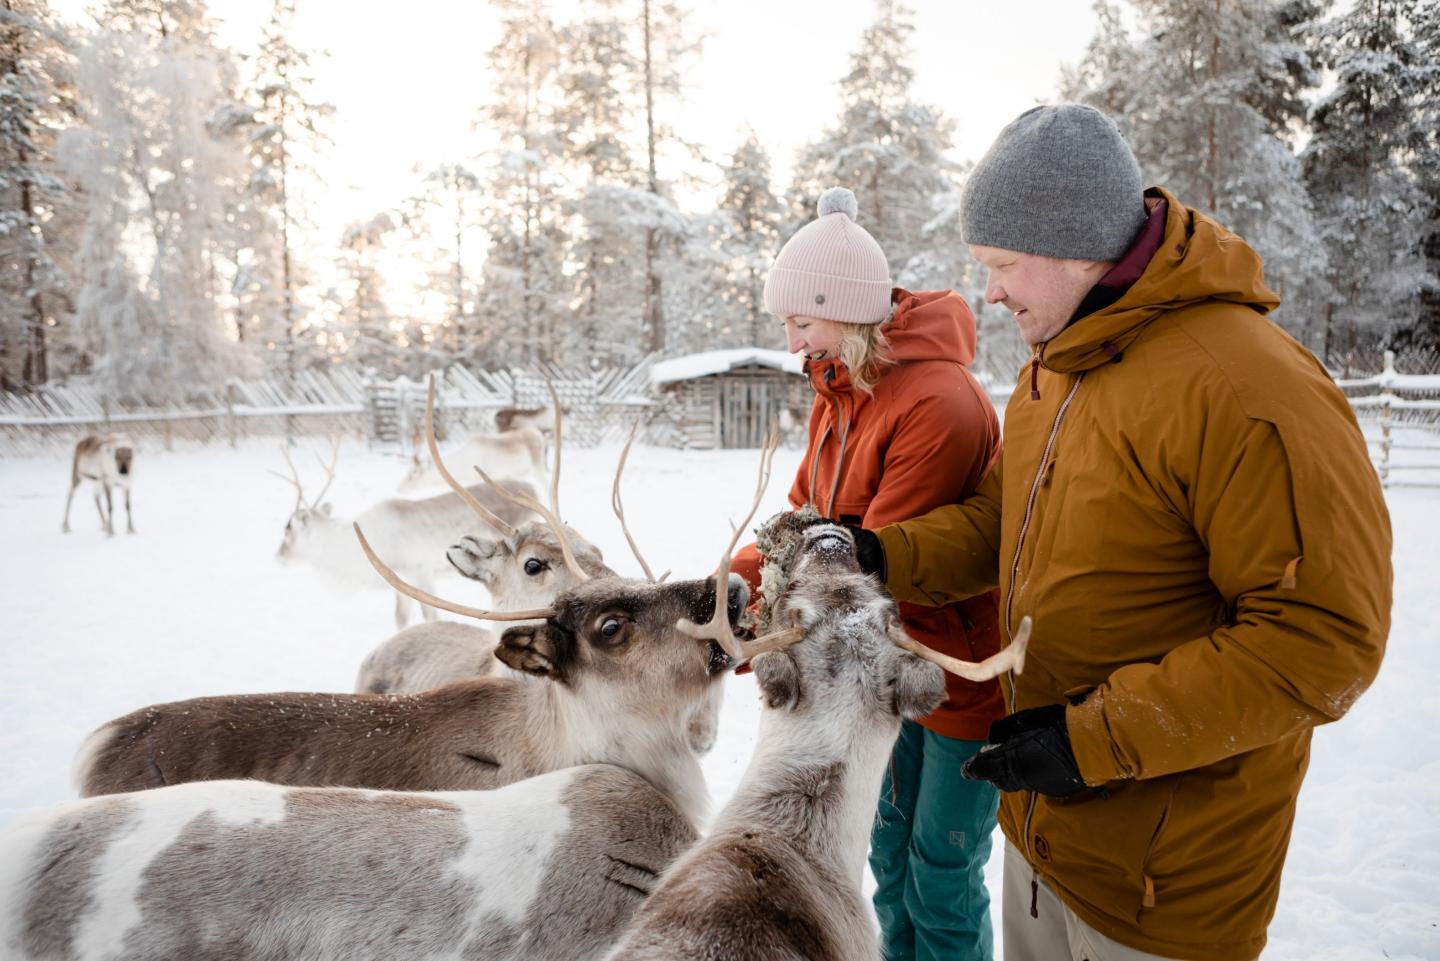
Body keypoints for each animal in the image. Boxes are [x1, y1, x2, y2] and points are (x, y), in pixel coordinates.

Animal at [271, 439, 537, 628]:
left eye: (288, 529)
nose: (279, 556)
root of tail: (532, 490)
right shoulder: (401, 582)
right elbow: (400, 619)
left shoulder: (420, 572)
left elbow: (430, 617)